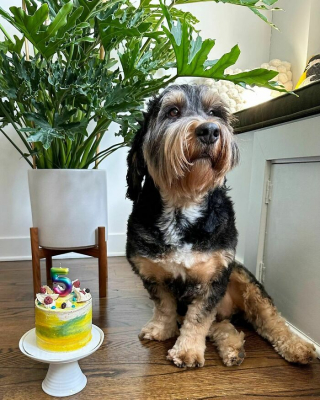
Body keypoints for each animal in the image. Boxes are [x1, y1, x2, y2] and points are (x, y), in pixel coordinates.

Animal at [124, 84, 316, 368]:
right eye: (172, 111)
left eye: (215, 113)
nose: (210, 130)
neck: (183, 205)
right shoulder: (151, 273)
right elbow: (165, 306)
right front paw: (161, 329)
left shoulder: (215, 276)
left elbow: (198, 318)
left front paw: (187, 350)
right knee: (221, 325)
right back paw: (233, 349)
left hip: (243, 278)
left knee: (270, 319)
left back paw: (297, 346)